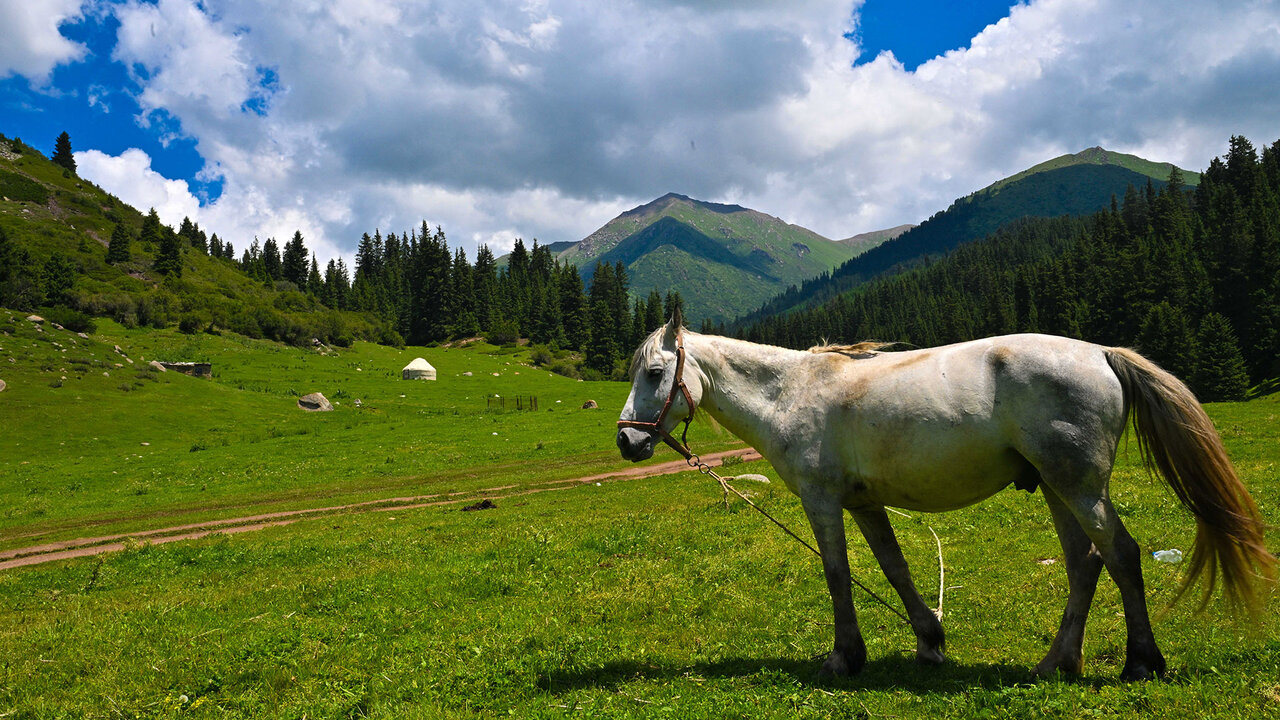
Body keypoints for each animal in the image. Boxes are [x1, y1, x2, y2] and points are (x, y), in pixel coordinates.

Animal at [616, 315, 1275, 680]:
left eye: (655, 374)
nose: (626, 441)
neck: (792, 391)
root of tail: (1101, 354)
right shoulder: (863, 503)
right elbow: (894, 567)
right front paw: (929, 641)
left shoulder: (822, 501)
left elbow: (837, 574)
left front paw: (844, 658)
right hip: (1058, 487)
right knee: (1084, 565)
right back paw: (1056, 664)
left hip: (1079, 487)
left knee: (1121, 555)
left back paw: (1140, 661)